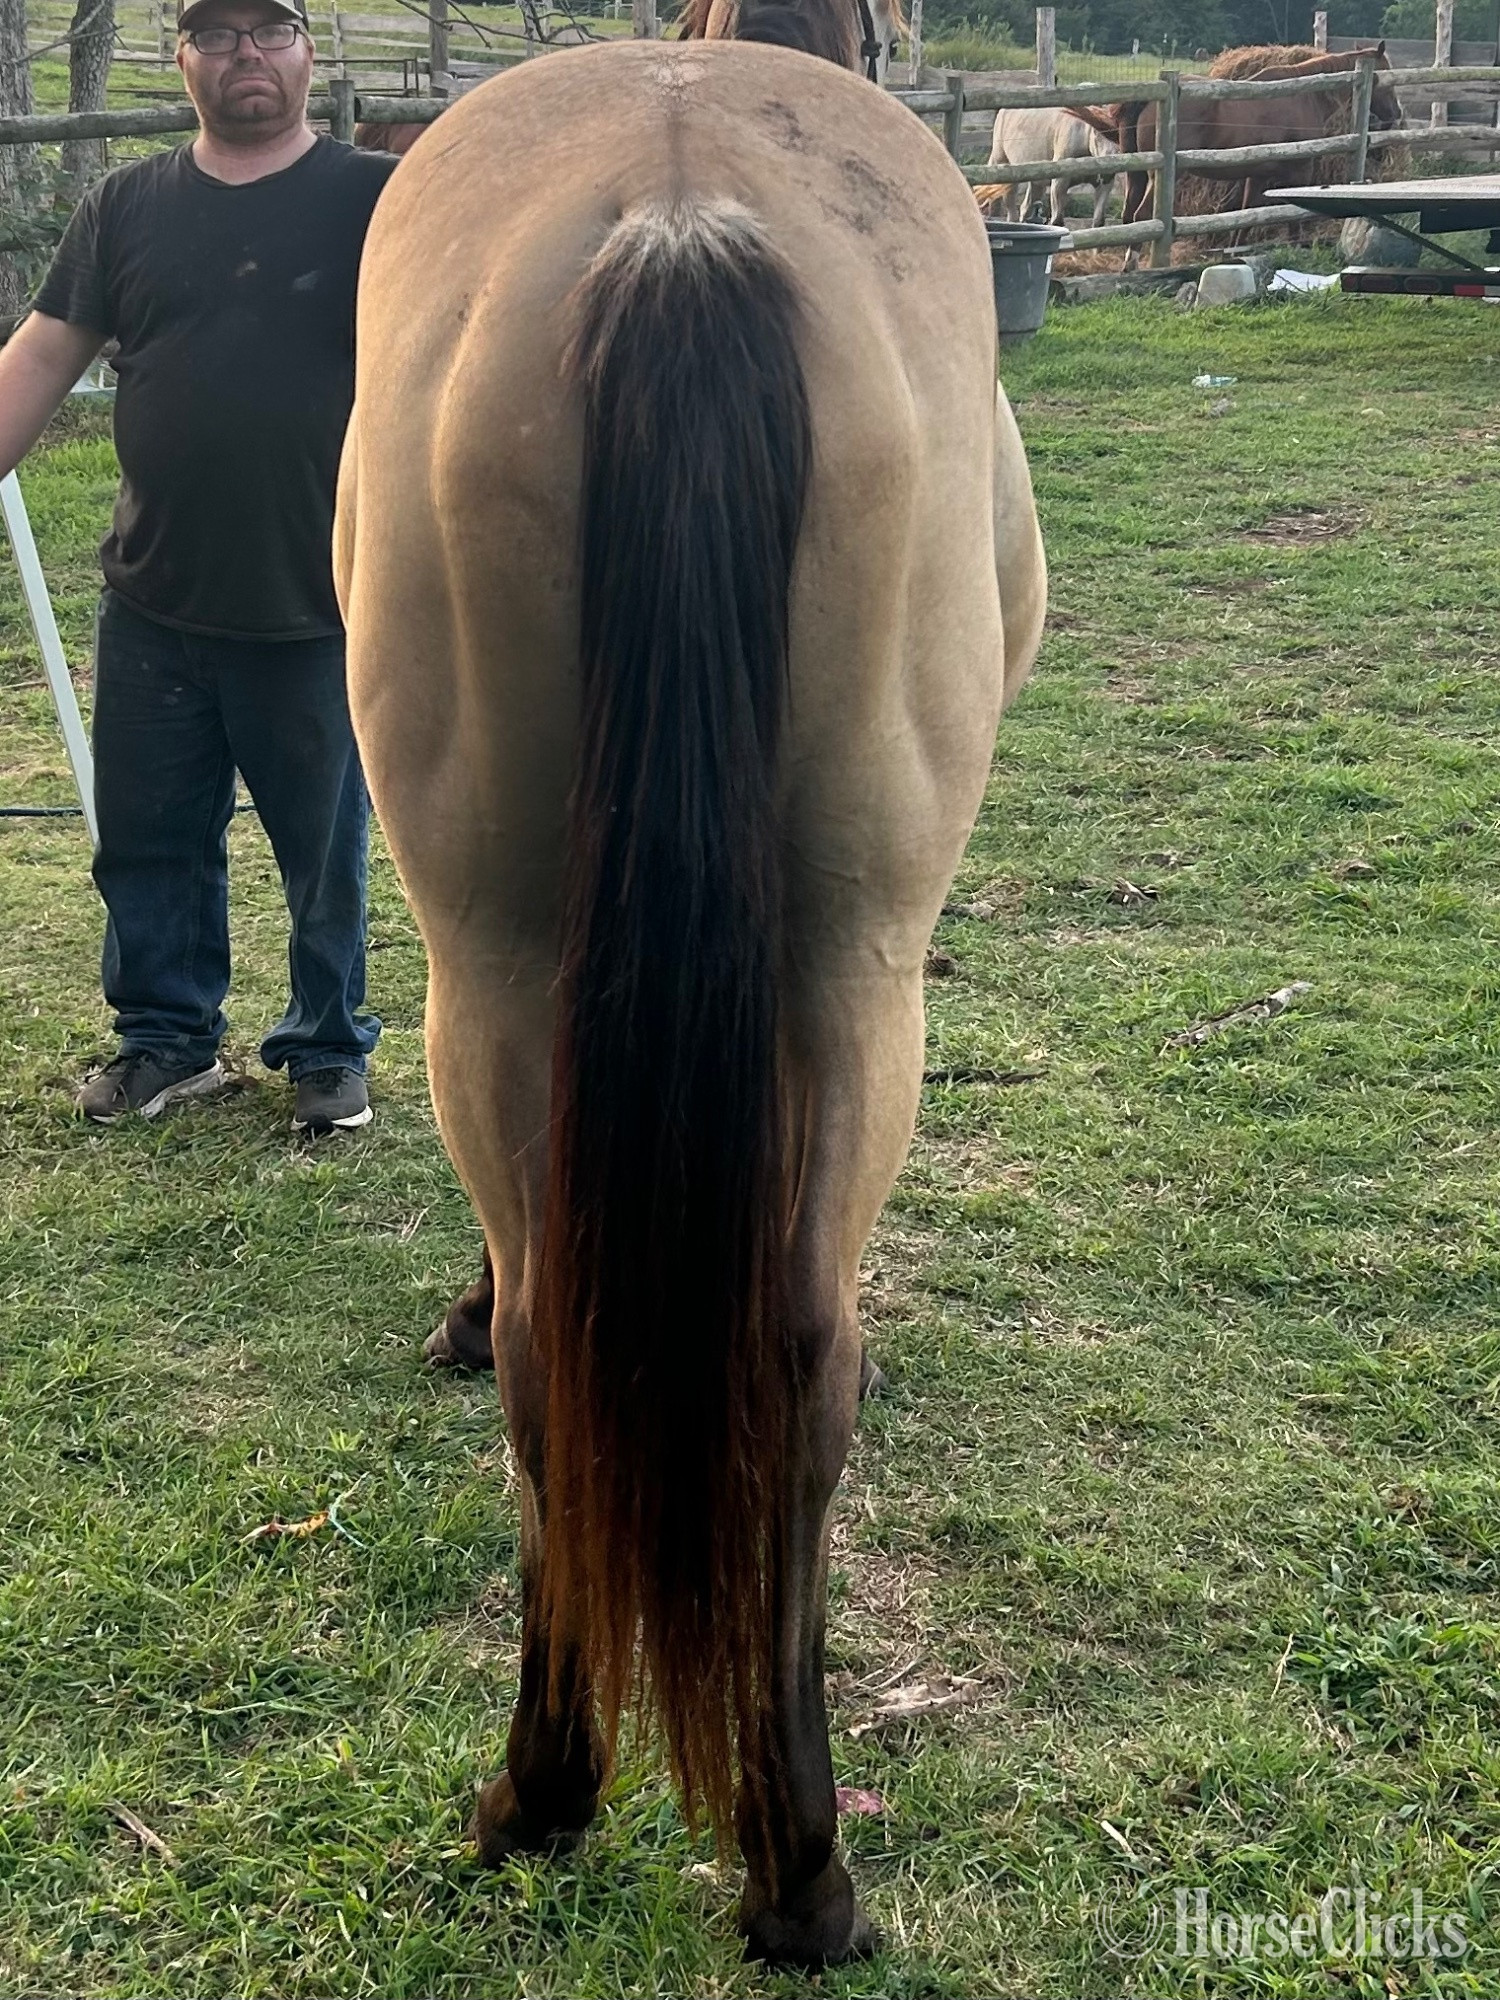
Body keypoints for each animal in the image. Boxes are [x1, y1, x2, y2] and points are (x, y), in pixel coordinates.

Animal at [335, 0, 1045, 1967]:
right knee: (790, 1357)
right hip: (852, 964)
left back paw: (563, 1802)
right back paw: (778, 1870)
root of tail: (676, 218)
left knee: (589, 1348)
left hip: (513, 965)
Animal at [988, 104, 1121, 228]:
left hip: (1036, 179)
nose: (1111, 161)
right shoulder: (1060, 180)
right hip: (1002, 162)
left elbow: (1099, 221)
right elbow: (1057, 220)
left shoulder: (1104, 184)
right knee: (1010, 206)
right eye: (1096, 133)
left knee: (1026, 206)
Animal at [1111, 44, 1402, 231]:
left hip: (1137, 174)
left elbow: (1246, 218)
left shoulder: (1257, 175)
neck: (1305, 95)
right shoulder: (1299, 172)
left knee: (1129, 215)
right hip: (1159, 177)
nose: (1396, 113)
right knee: (1142, 215)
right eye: (1387, 75)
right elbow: (1292, 220)